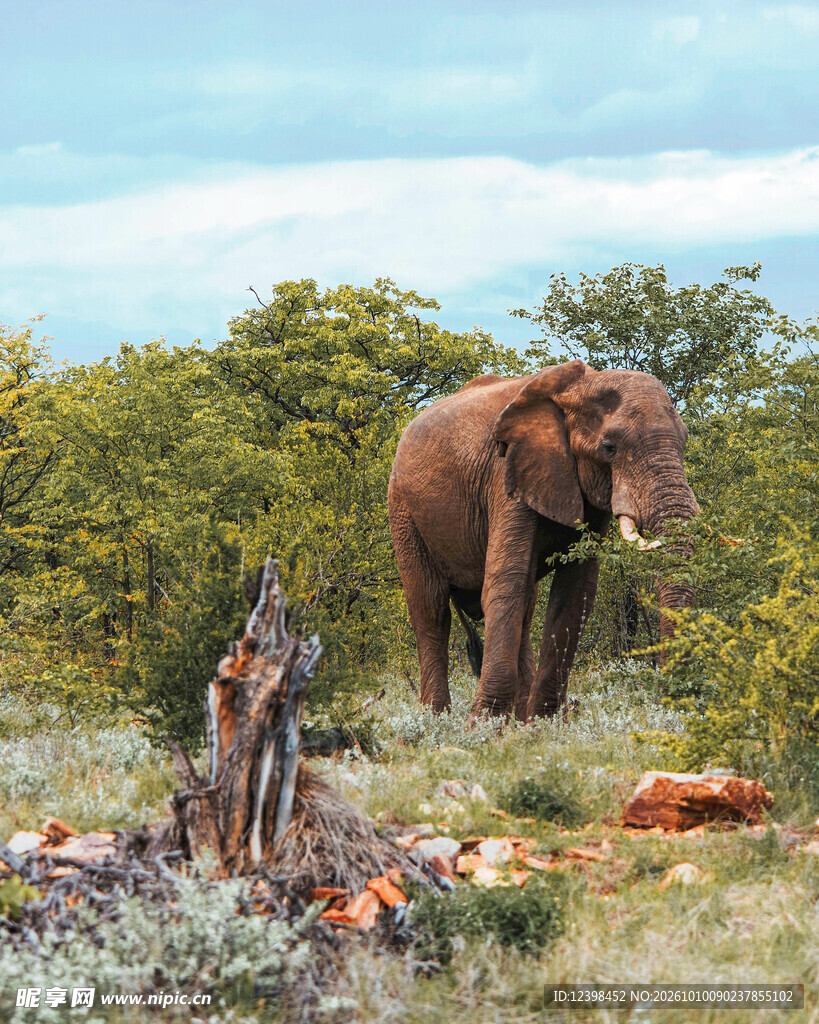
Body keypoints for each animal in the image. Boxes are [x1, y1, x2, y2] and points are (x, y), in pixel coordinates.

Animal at [388, 359, 699, 721]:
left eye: (683, 442)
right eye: (609, 448)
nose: (666, 705)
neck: (581, 386)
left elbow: (576, 591)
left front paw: (541, 723)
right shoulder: (506, 473)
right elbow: (505, 581)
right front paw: (481, 725)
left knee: (525, 605)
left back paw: (518, 717)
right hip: (403, 509)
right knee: (431, 610)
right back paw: (435, 719)